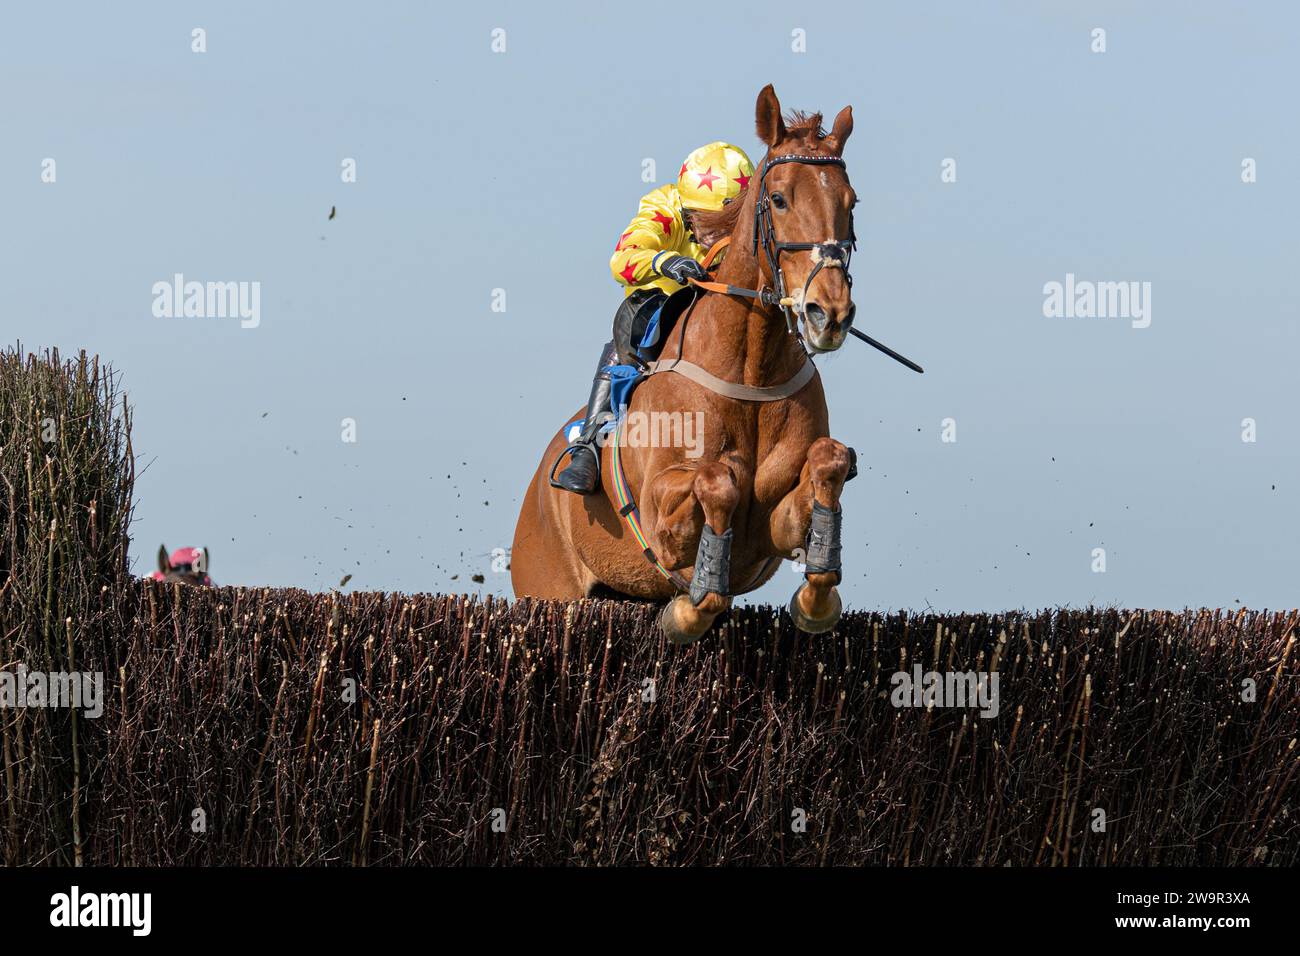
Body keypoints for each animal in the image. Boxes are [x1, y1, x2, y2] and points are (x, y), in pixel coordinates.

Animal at [512, 85, 857, 647]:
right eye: (779, 199)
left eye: (851, 202)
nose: (828, 312)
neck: (750, 373)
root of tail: (538, 485)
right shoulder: (659, 518)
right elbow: (717, 481)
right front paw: (690, 610)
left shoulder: (773, 527)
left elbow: (830, 459)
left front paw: (815, 601)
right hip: (547, 584)